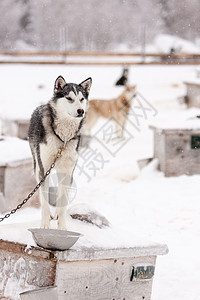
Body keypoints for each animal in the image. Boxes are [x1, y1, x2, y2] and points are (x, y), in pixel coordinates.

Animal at [28, 75, 92, 230]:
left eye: (82, 99)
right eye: (69, 98)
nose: (81, 111)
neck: (63, 138)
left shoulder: (68, 171)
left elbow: (63, 201)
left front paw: (62, 226)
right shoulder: (44, 170)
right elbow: (45, 203)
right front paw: (45, 225)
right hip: (37, 167)